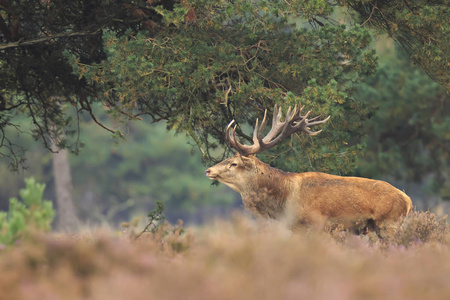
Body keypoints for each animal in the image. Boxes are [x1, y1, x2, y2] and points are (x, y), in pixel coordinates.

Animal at [206, 103, 414, 237]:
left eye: (234, 163)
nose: (208, 170)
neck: (283, 201)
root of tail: (408, 200)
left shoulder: (312, 226)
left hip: (389, 224)